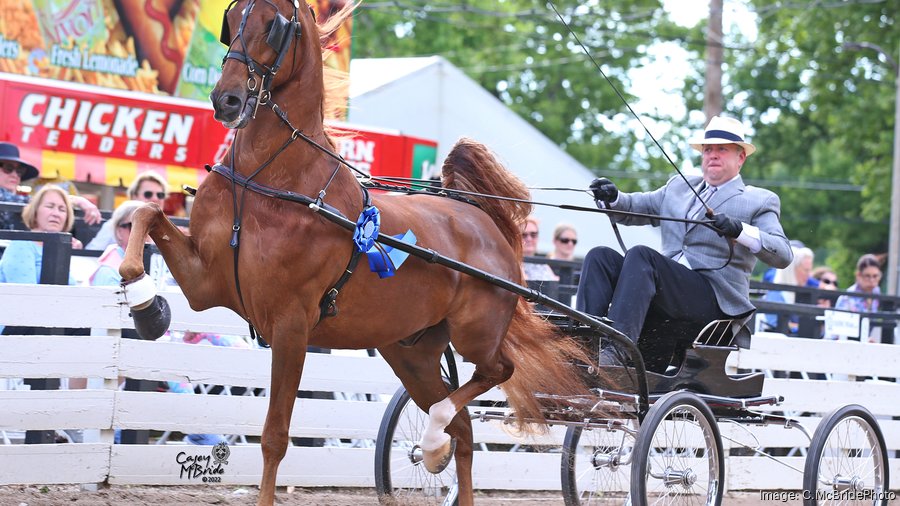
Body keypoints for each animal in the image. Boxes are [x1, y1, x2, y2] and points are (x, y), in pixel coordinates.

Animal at [121, 1, 592, 504]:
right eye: (233, 19)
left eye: (274, 24)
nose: (225, 100)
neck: (267, 183)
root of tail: (481, 219)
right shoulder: (205, 283)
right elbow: (147, 213)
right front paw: (146, 305)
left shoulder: (291, 325)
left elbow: (274, 436)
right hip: (410, 353)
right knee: (463, 429)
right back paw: (438, 444)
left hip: (476, 334)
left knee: (494, 374)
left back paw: (434, 438)